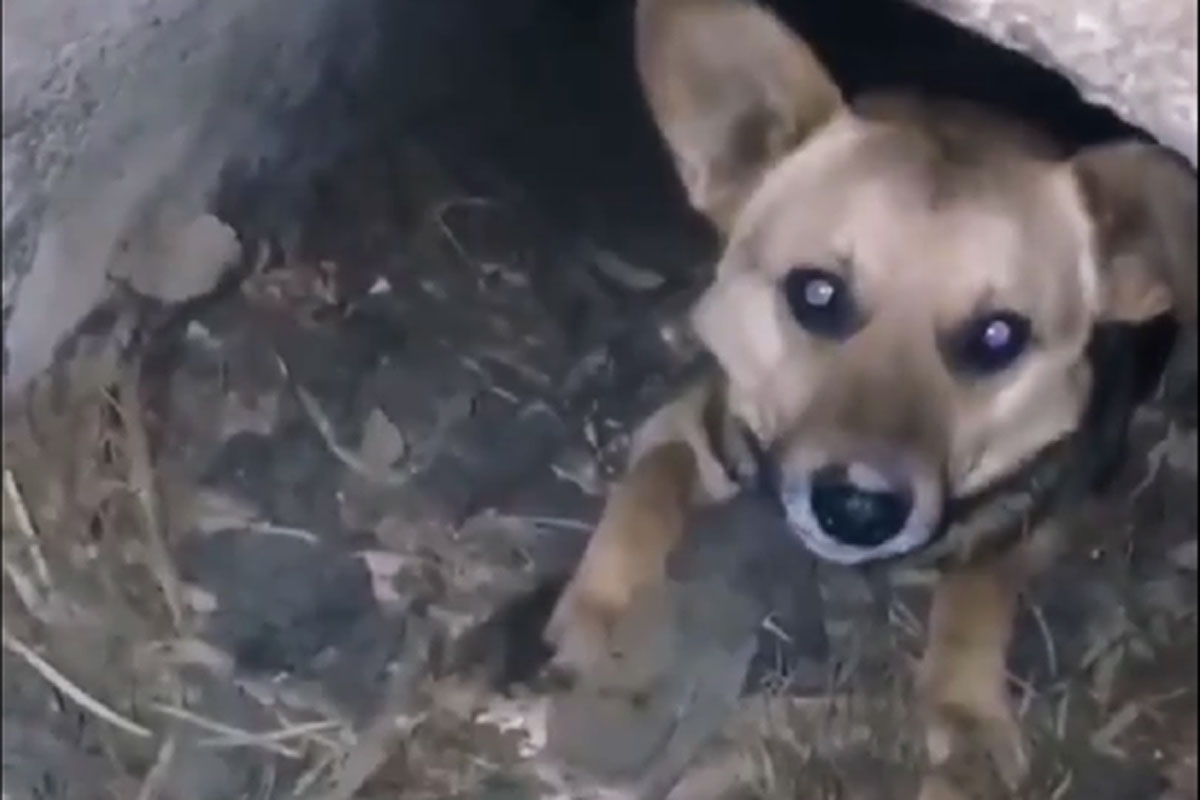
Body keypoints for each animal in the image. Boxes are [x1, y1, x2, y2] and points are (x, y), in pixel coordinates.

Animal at [547, 0, 1200, 796]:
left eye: (998, 336)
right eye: (816, 293)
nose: (857, 510)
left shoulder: (1049, 502)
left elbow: (979, 584)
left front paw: (965, 711)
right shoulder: (695, 423)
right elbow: (649, 482)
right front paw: (601, 607)